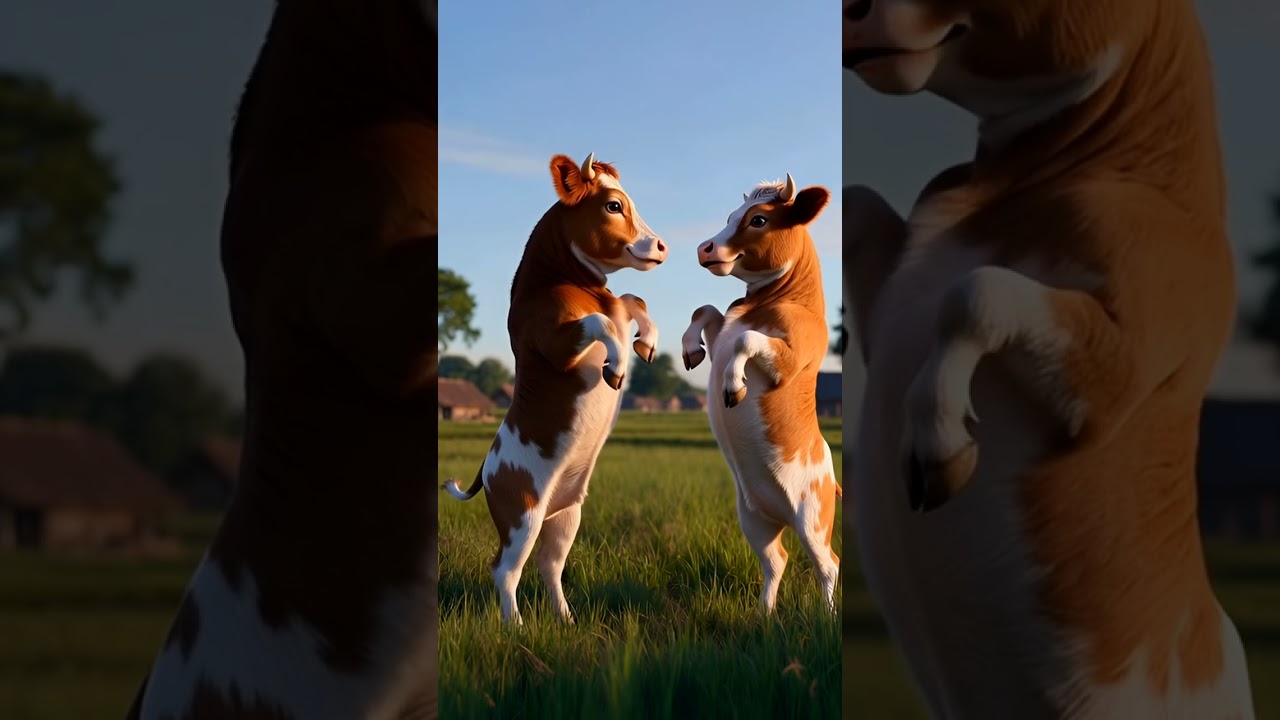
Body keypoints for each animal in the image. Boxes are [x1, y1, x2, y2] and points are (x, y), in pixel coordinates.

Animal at [442, 153, 667, 625]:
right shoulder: (555, 343)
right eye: (614, 205)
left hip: (566, 516)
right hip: (521, 515)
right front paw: (616, 367)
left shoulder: (618, 308)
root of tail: (486, 468)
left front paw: (647, 343)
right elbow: (600, 322)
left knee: (549, 565)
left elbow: (633, 301)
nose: (661, 246)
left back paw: (565, 618)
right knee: (504, 569)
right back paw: (515, 627)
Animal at [681, 174, 841, 615]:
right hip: (753, 519)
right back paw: (763, 615)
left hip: (814, 519)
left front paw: (733, 386)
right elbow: (705, 310)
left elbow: (747, 339)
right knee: (777, 561)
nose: (705, 248)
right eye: (730, 216)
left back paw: (827, 616)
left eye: (759, 220)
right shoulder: (721, 329)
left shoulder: (788, 362)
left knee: (829, 565)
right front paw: (690, 349)